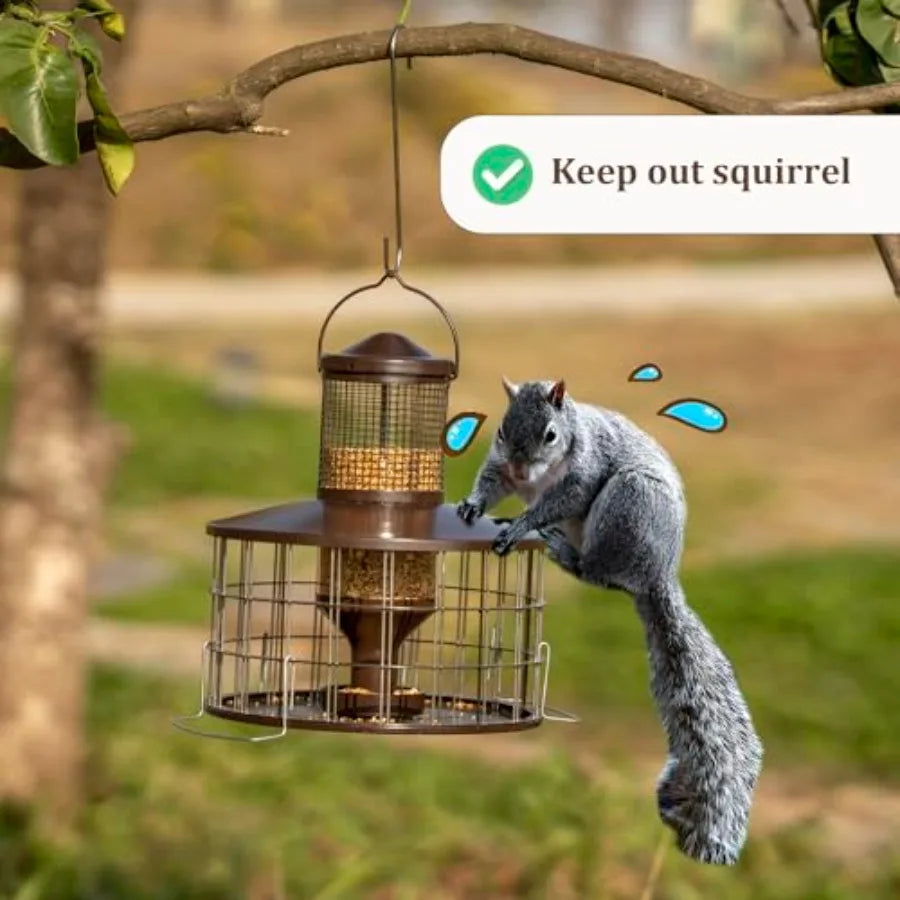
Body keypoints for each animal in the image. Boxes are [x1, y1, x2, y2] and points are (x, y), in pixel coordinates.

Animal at [457, 377, 763, 866]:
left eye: (550, 435)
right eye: (502, 430)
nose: (522, 474)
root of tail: (656, 575)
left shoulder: (585, 471)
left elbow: (562, 499)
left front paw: (520, 524)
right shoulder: (500, 463)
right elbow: (490, 479)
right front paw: (472, 503)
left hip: (627, 505)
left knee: (597, 573)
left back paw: (559, 548)